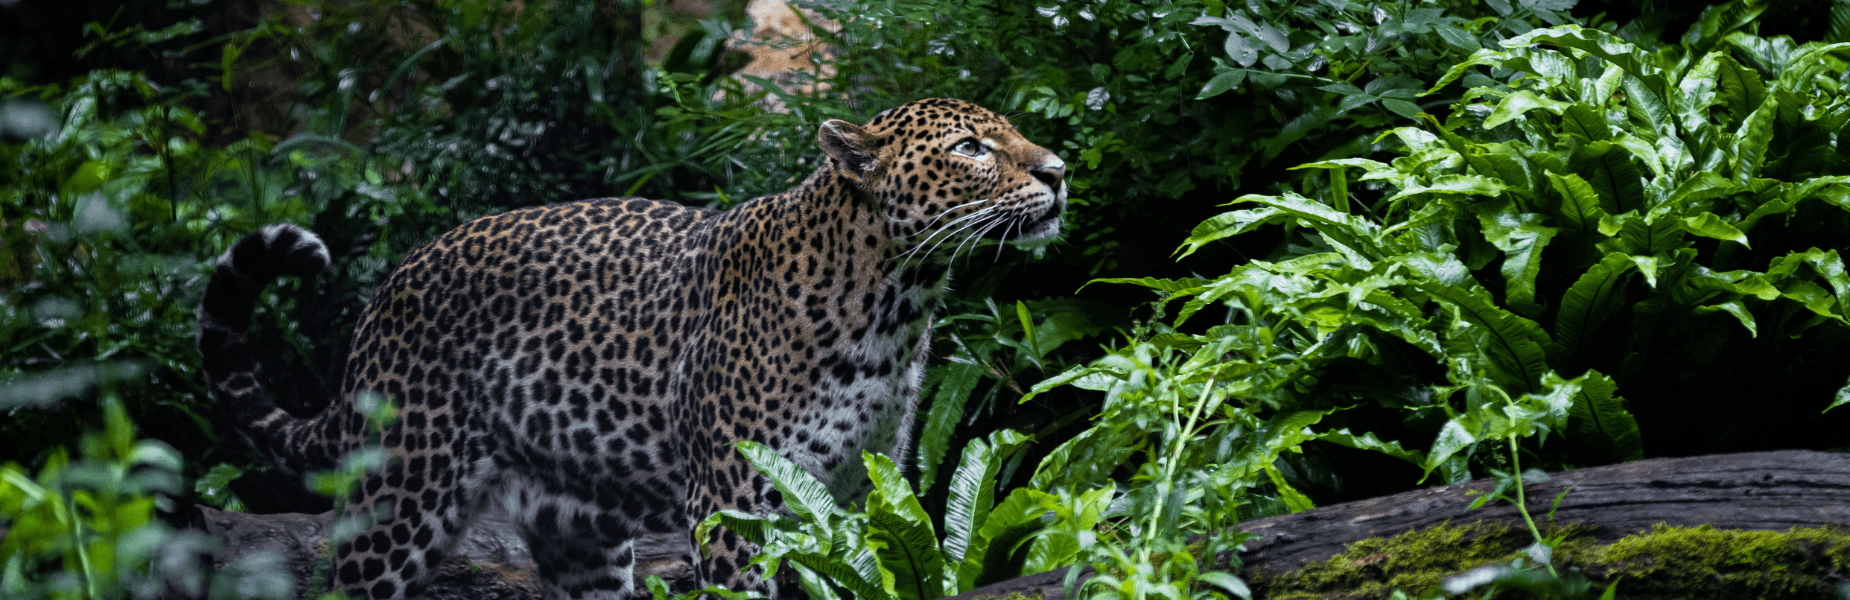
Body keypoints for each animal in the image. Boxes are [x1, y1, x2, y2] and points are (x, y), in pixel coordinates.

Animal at [193, 99, 1065, 600]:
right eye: (971, 148)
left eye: (1015, 136)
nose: (1058, 171)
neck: (894, 302)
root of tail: (383, 295)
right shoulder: (735, 507)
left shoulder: (857, 497)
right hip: (398, 502)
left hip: (579, 537)